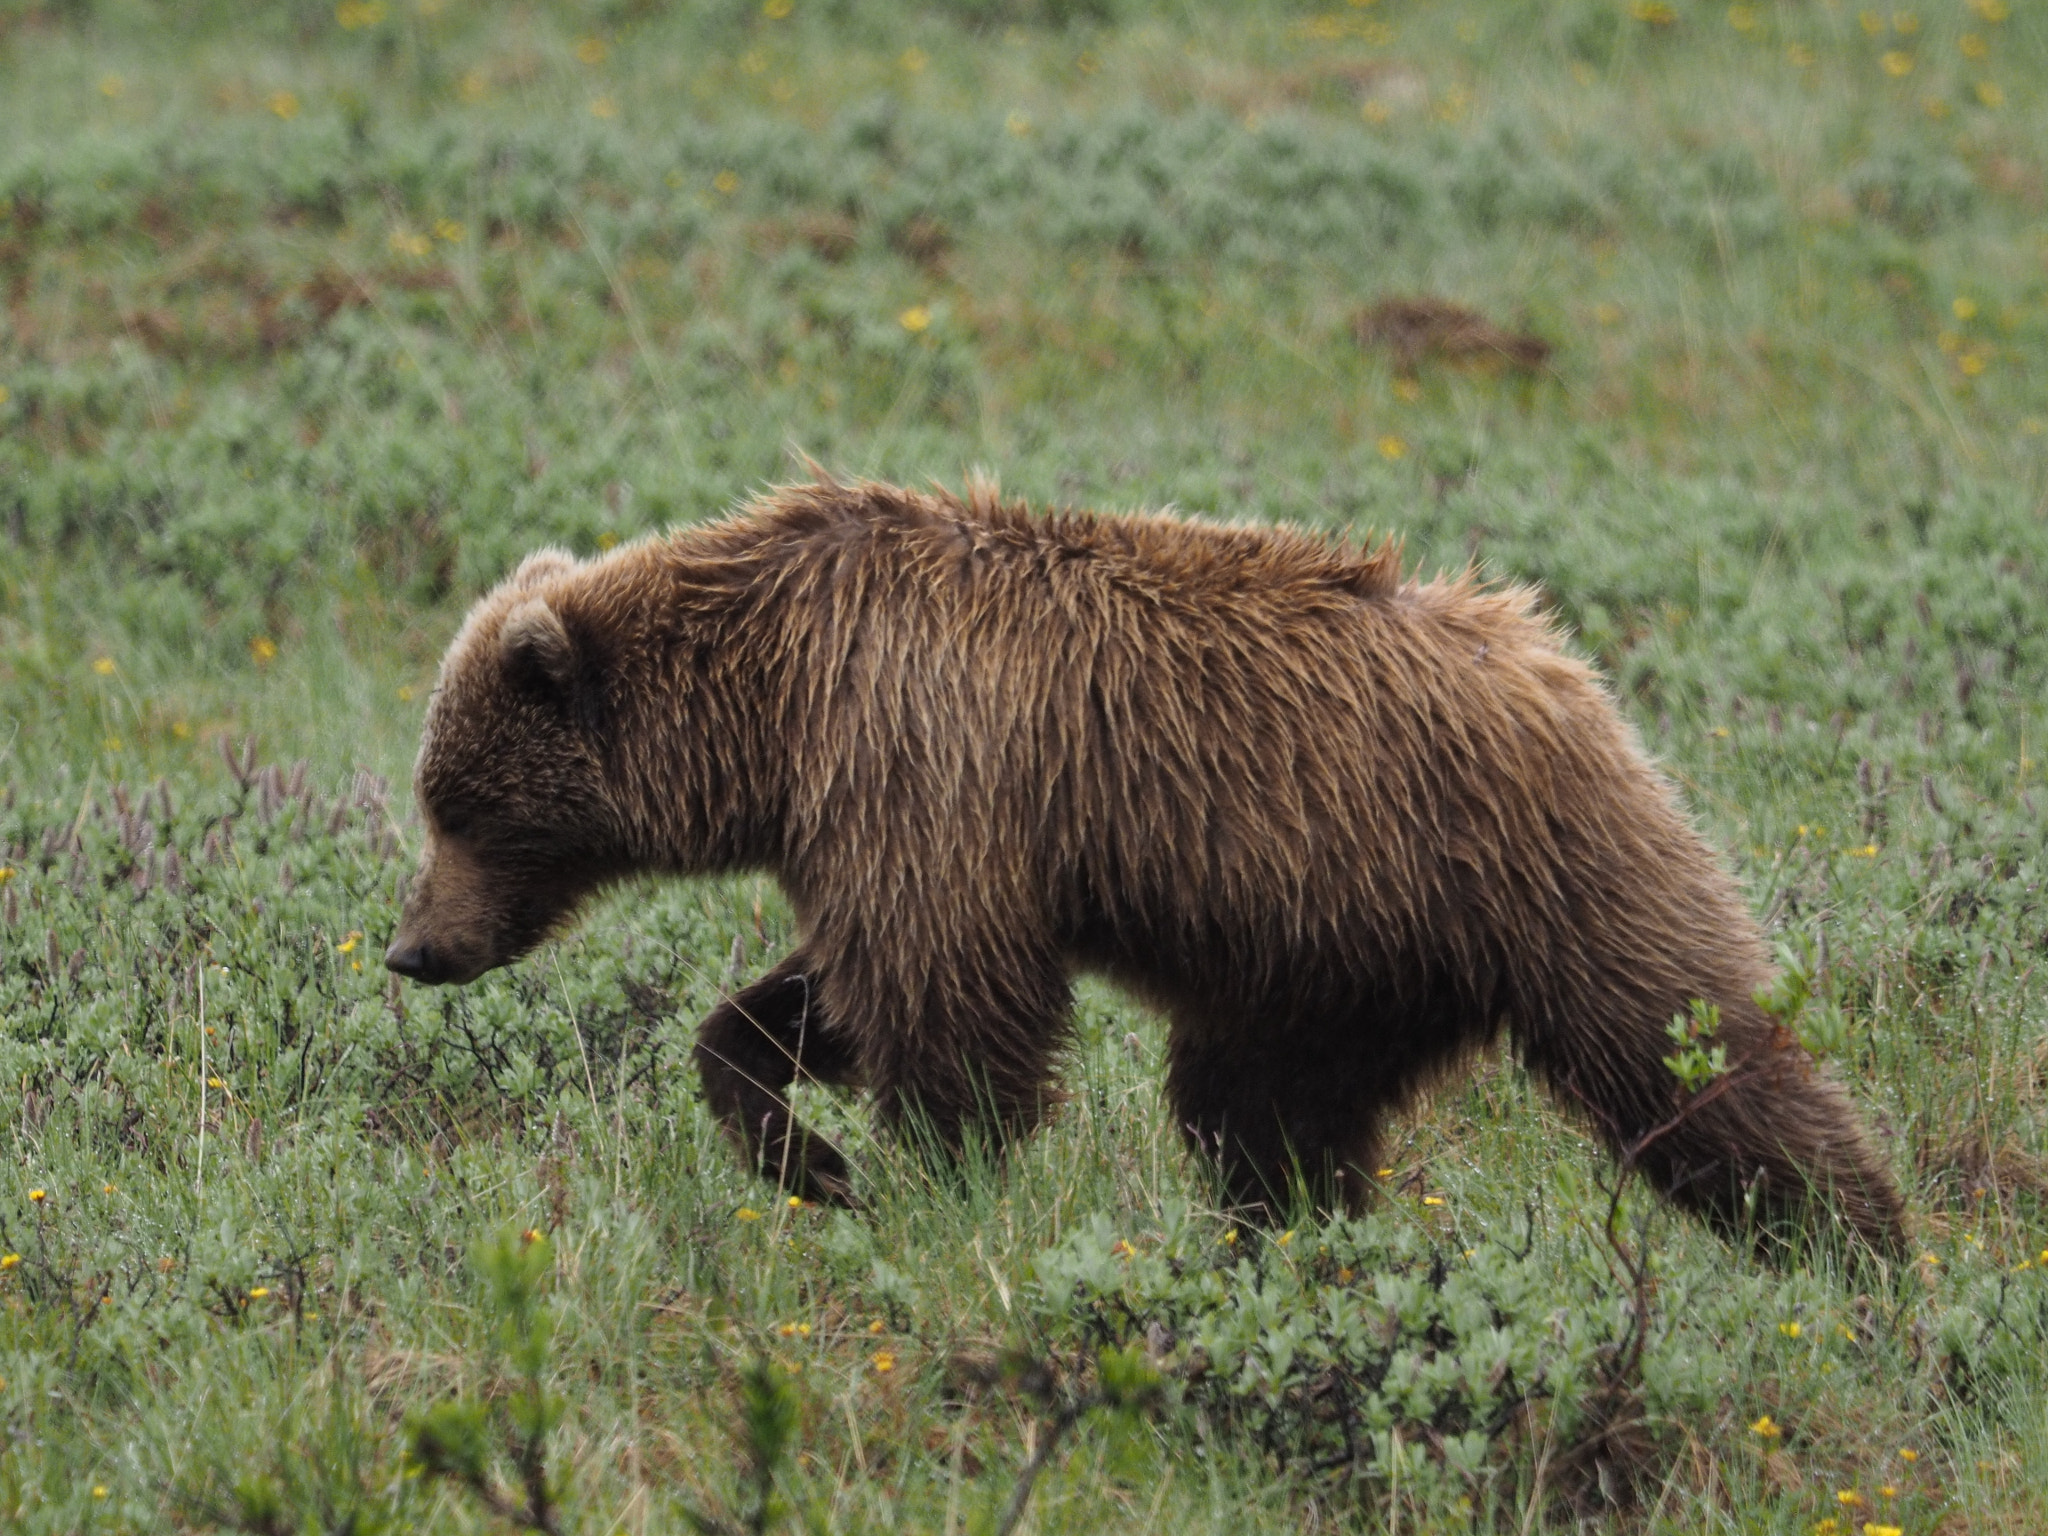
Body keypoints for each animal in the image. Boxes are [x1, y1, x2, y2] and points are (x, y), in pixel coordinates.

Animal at [391, 475, 1908, 1253]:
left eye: (461, 807)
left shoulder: (920, 760)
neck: (772, 698)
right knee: (1257, 1113)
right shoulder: (869, 812)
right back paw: (1292, 1247)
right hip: (1329, 962)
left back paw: (1868, 1261)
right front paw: (802, 1148)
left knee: (1698, 1060)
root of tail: (1560, 660)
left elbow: (950, 1003)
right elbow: (822, 995)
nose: (413, 948)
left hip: (1538, 870)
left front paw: (925, 1186)